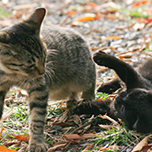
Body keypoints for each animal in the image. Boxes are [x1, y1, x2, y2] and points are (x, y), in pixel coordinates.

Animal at [0, 8, 95, 151]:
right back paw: (72, 101)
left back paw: (88, 98)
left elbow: (36, 118)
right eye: (30, 64)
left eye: (45, 56)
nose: (42, 72)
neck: (13, 74)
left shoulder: (39, 88)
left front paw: (37, 142)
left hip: (82, 75)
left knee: (90, 80)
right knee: (72, 92)